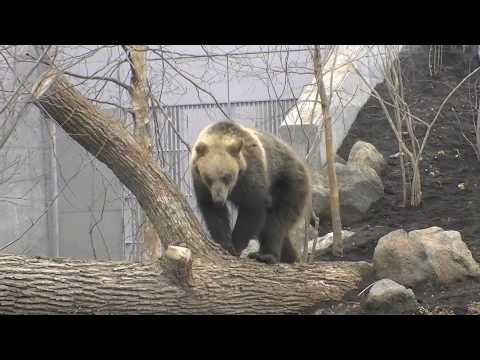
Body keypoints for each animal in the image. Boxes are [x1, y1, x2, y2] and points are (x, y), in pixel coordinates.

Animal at [191, 119, 312, 262]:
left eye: (227, 177)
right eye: (208, 178)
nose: (219, 200)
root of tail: (301, 164)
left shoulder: (251, 174)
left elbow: (252, 208)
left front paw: (236, 246)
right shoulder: (201, 184)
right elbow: (213, 213)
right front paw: (225, 244)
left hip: (288, 183)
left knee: (276, 221)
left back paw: (266, 255)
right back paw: (289, 256)